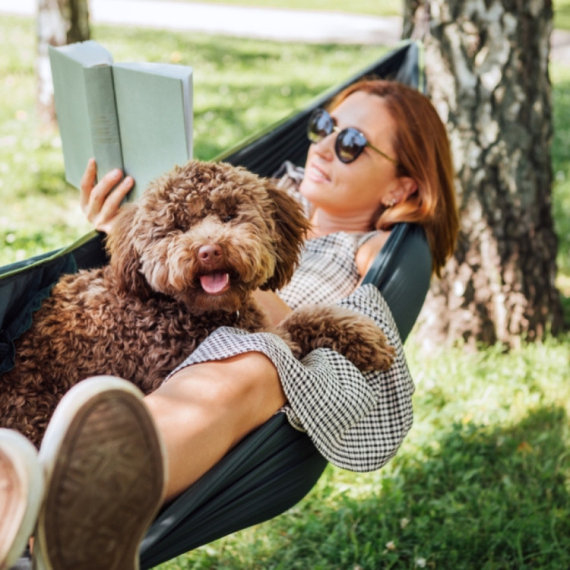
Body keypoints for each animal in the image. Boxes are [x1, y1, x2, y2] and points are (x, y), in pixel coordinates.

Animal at [0, 159, 392, 444]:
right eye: (176, 227)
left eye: (230, 214)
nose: (208, 251)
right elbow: (290, 334)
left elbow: (304, 321)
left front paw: (362, 337)